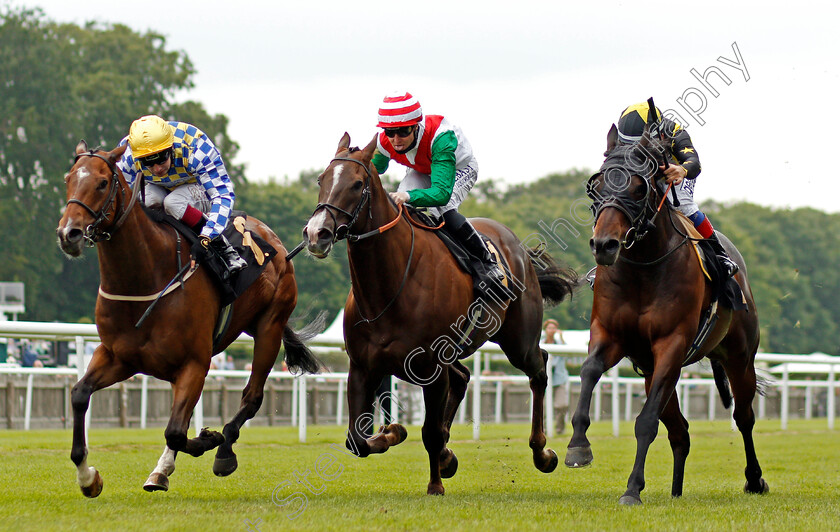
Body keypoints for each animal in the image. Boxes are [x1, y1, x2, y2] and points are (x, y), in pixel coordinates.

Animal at [54, 140, 320, 494]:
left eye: (101, 182)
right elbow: (80, 395)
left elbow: (176, 432)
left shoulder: (195, 362)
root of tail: (272, 240)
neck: (146, 276)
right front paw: (88, 477)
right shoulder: (117, 356)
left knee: (251, 397)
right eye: (69, 178)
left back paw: (223, 450)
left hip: (270, 327)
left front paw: (210, 439)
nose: (68, 233)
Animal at [302, 133, 576, 494]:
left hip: (518, 340)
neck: (389, 287)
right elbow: (356, 440)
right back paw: (448, 455)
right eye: (321, 180)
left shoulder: (431, 365)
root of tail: (519, 250)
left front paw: (434, 485)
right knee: (463, 377)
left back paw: (541, 452)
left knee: (539, 368)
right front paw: (394, 433)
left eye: (357, 184)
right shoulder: (362, 366)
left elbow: (429, 432)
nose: (316, 233)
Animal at [568, 122, 772, 504]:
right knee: (681, 431)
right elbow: (588, 370)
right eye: (597, 186)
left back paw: (754, 479)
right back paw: (676, 491)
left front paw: (632, 489)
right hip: (652, 370)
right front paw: (578, 446)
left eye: (638, 186)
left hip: (739, 357)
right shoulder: (610, 334)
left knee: (744, 417)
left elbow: (646, 422)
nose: (604, 245)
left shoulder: (672, 344)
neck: (643, 267)